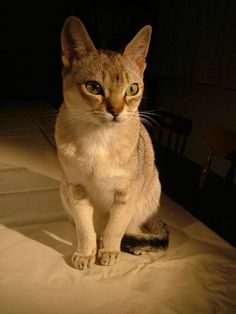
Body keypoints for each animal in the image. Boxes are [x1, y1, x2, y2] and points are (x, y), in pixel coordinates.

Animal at [54, 15, 170, 268]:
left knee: (132, 228)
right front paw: (86, 253)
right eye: (93, 87)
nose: (116, 111)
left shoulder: (125, 194)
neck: (99, 140)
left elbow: (115, 229)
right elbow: (85, 229)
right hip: (64, 190)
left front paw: (108, 251)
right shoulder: (76, 190)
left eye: (133, 89)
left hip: (152, 186)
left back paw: (135, 247)